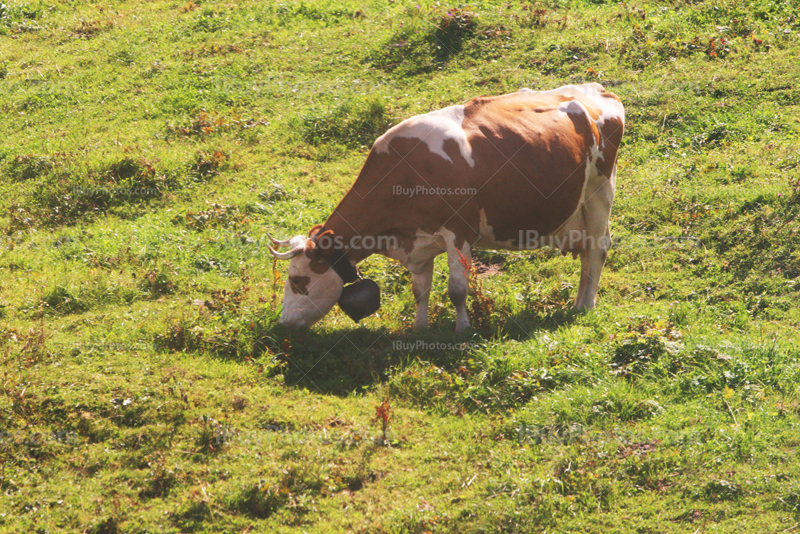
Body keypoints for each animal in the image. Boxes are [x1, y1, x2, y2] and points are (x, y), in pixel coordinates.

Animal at [268, 82, 624, 336]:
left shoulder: (459, 232)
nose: (283, 323)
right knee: (585, 255)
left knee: (597, 249)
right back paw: (576, 303)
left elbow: (457, 289)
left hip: (599, 191)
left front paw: (462, 329)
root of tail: (596, 91)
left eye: (298, 280)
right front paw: (419, 328)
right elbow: (419, 290)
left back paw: (585, 307)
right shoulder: (418, 242)